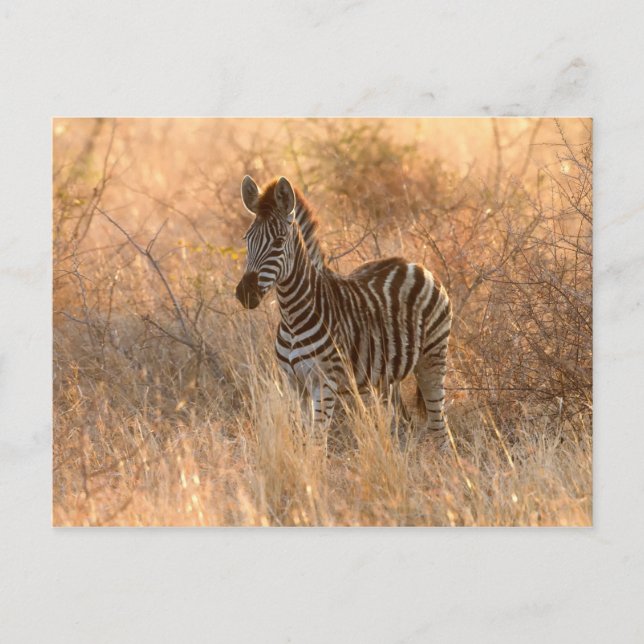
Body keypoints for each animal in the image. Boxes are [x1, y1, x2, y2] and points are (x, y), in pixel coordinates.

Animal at [235, 175, 452, 442]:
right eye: (247, 240)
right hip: (387, 376)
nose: (245, 293)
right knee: (403, 422)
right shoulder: (294, 384)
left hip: (433, 357)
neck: (292, 316)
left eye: (278, 242)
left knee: (440, 428)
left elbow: (316, 443)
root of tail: (416, 264)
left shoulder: (325, 384)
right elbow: (303, 438)